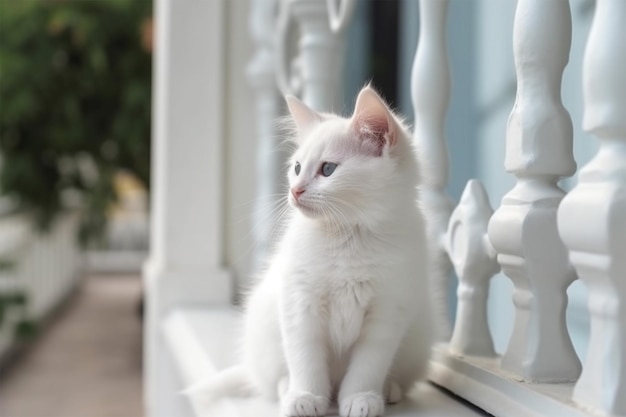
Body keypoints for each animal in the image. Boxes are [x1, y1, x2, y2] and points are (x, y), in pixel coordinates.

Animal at [188, 86, 432, 414]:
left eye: (328, 169)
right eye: (297, 168)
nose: (295, 190)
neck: (349, 237)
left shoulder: (387, 314)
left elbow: (368, 366)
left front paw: (361, 398)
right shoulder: (299, 304)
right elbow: (306, 360)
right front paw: (306, 397)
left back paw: (387, 390)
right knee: (273, 379)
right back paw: (287, 390)